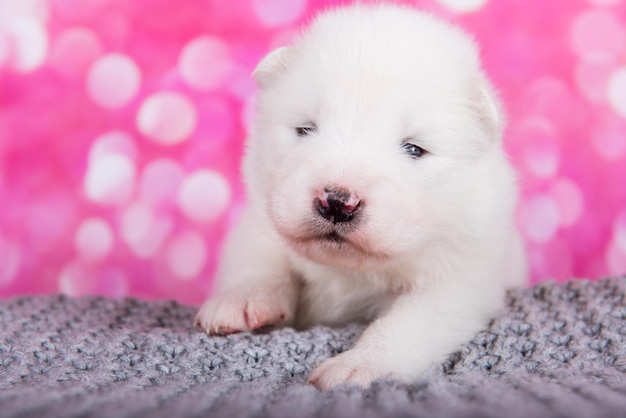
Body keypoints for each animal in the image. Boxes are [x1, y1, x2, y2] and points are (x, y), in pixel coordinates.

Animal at [193, 3, 524, 390]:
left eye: (414, 149)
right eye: (305, 129)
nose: (337, 201)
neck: (348, 269)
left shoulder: (462, 275)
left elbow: (409, 322)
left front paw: (357, 366)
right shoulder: (262, 214)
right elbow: (259, 258)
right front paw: (241, 302)